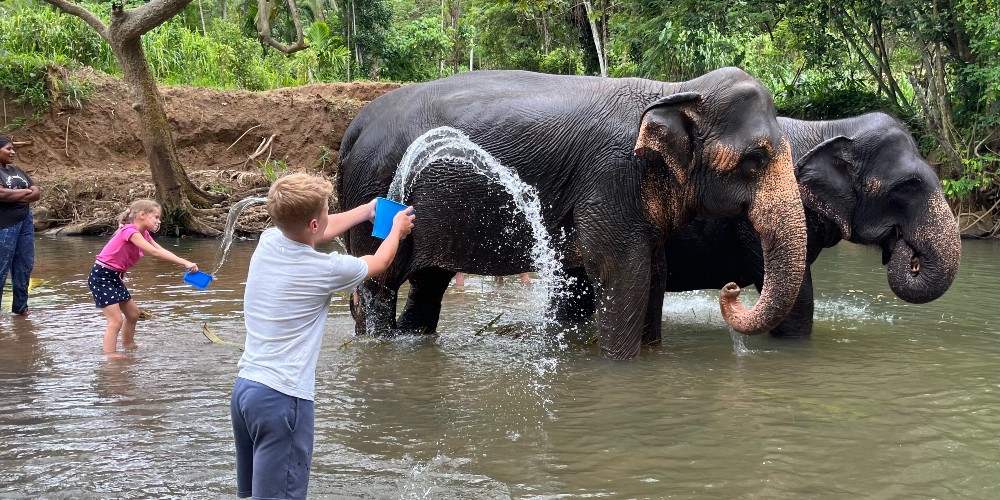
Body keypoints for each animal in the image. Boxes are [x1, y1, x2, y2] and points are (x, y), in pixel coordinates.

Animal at [340, 69, 808, 360]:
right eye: (754, 160)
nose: (731, 289)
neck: (674, 88)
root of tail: (354, 125)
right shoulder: (611, 179)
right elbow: (621, 272)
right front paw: (620, 367)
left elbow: (655, 271)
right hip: (376, 189)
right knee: (380, 286)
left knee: (428, 283)